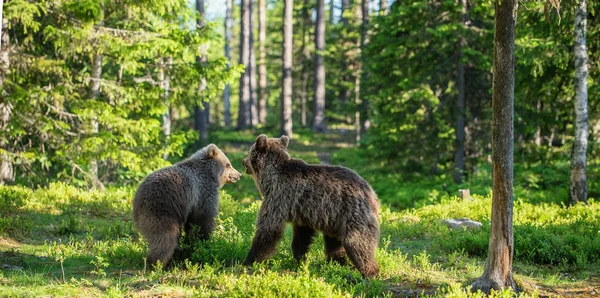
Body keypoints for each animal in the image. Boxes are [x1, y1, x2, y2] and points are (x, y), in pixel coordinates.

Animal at [240, 134, 378, 278]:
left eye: (249, 152)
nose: (243, 161)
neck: (269, 179)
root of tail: (371, 192)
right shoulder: (301, 210)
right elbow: (302, 237)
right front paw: (301, 259)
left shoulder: (279, 198)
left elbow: (268, 230)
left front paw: (249, 260)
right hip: (335, 219)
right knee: (333, 242)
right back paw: (336, 262)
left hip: (352, 214)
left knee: (358, 244)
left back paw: (369, 272)